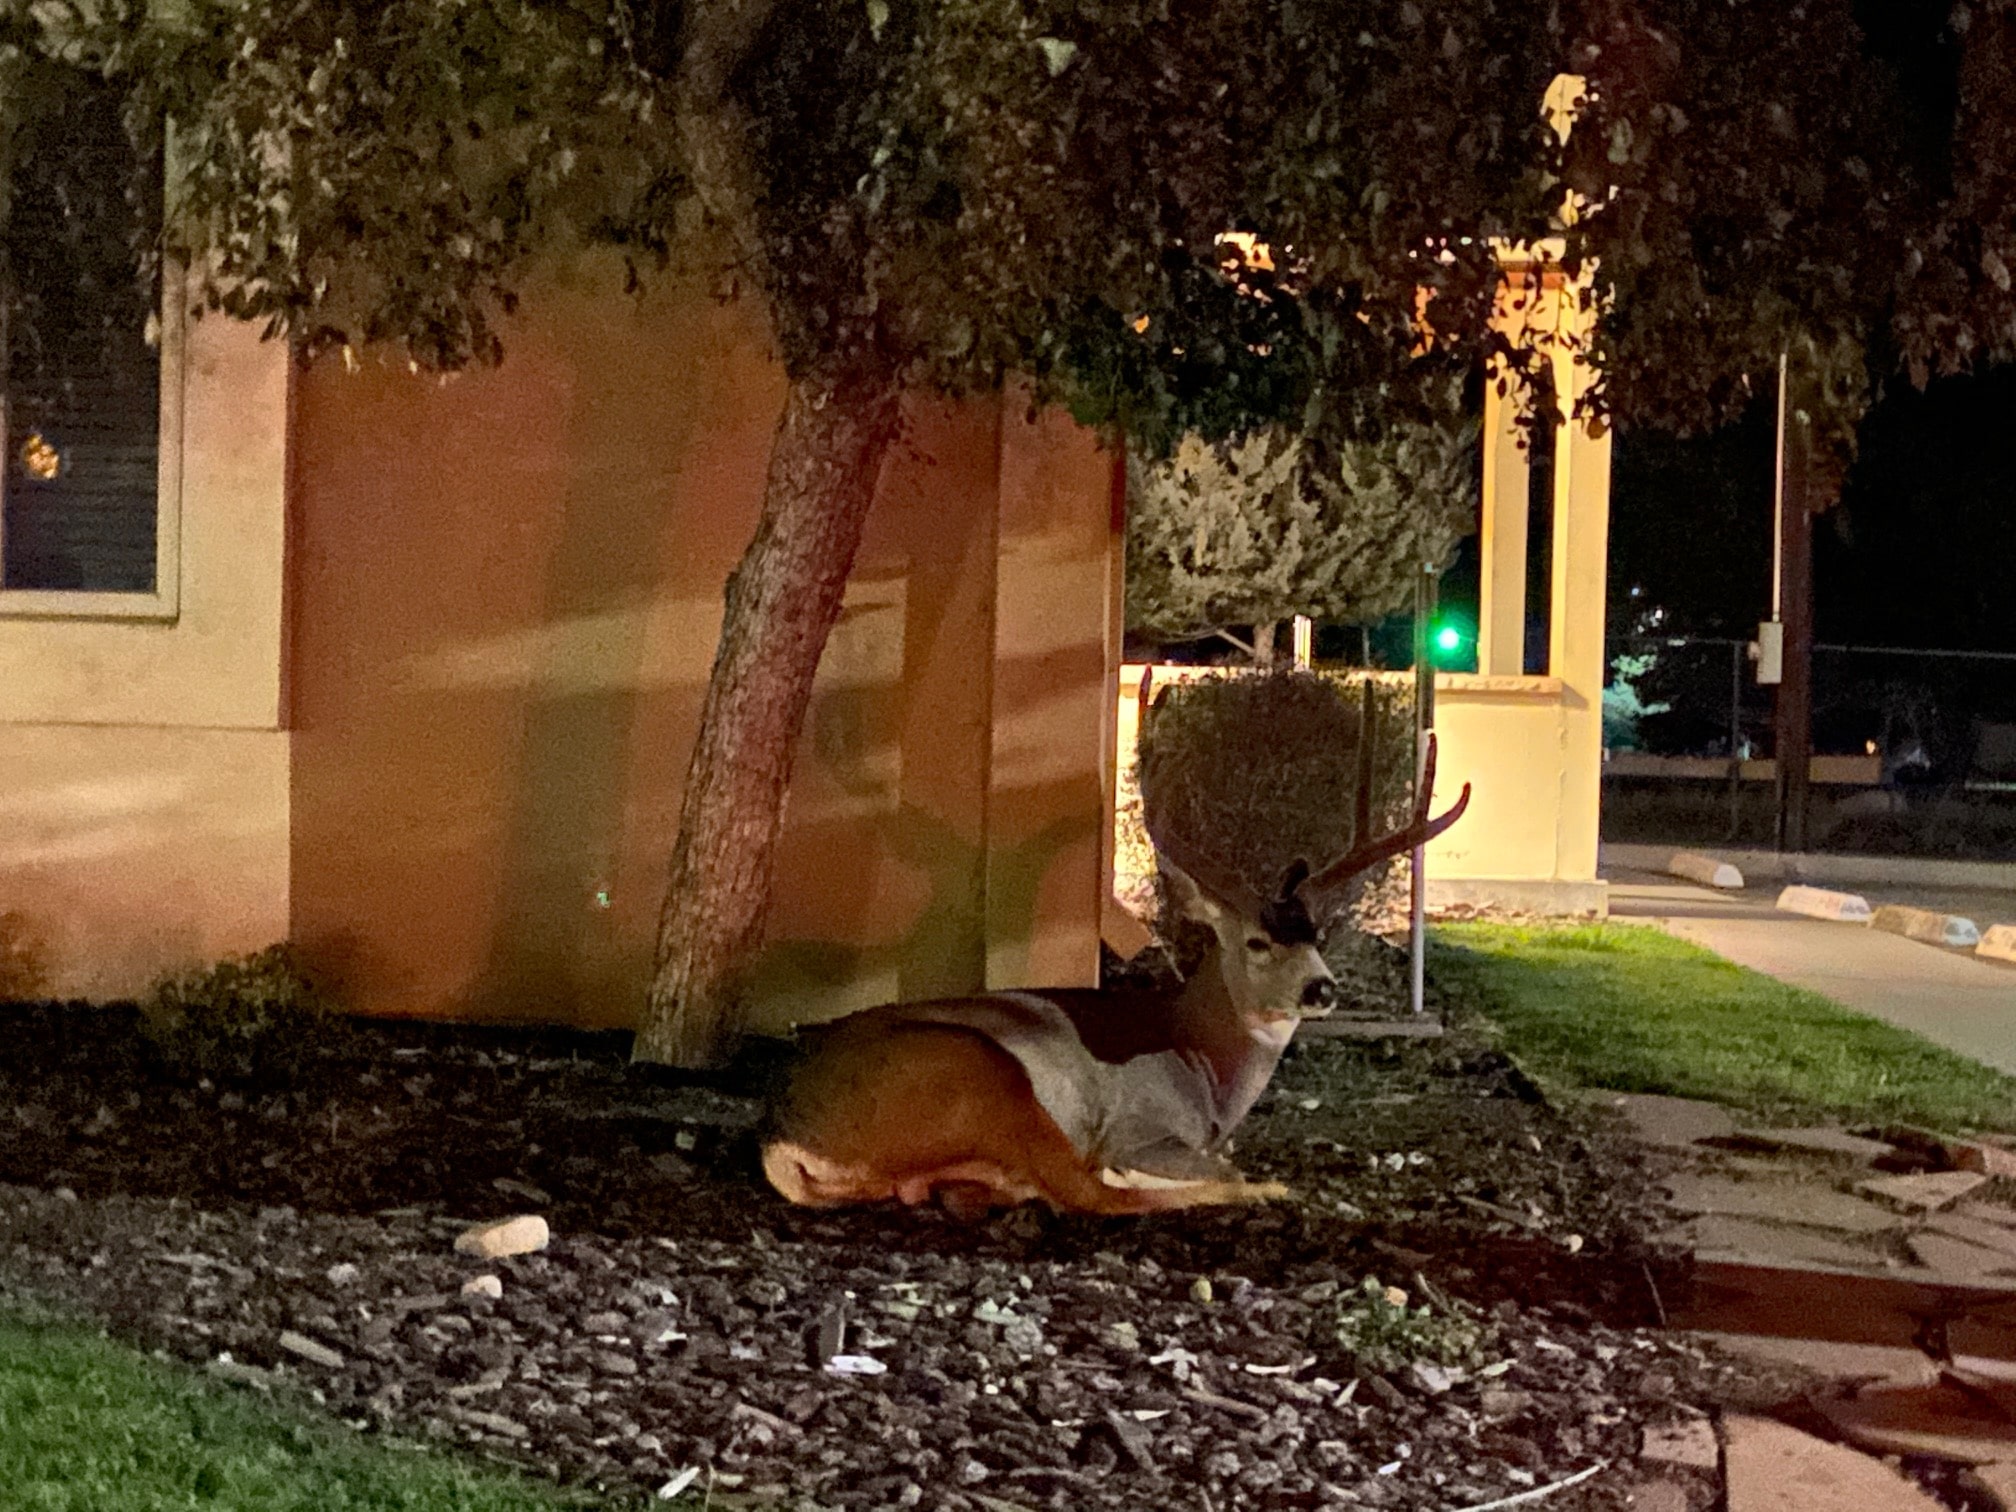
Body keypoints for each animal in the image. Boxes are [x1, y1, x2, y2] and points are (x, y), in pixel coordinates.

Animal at [762, 733, 1475, 1217]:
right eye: (1257, 941)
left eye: (1317, 936)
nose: (1321, 989)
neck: (1200, 1059)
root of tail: (788, 1132)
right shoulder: (1140, 1126)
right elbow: (1212, 1165)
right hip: (988, 1076)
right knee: (1087, 1193)